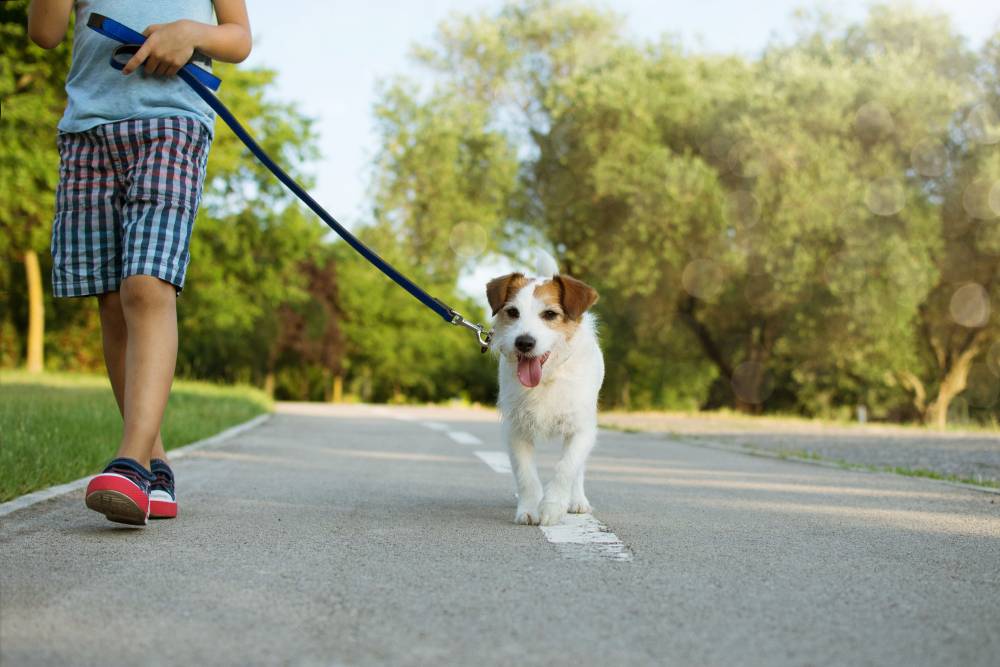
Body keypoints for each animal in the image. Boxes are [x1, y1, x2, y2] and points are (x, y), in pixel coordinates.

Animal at [484, 256, 600, 528]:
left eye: (549, 314)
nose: (524, 342)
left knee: (578, 469)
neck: (547, 378)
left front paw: (552, 506)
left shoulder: (581, 429)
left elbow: (567, 467)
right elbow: (525, 474)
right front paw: (529, 508)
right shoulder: (516, 430)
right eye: (513, 312)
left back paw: (576, 500)